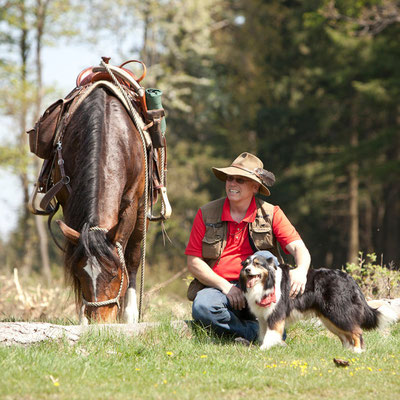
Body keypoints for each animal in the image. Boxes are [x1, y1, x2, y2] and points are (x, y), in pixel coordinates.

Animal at [54, 86, 146, 324]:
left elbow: (129, 256)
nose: (100, 321)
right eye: (79, 274)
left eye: (114, 273)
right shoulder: (68, 201)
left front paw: (128, 315)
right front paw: (82, 318)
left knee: (134, 253)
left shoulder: (132, 203)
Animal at [239, 255, 398, 352]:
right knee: (346, 336)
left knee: (356, 331)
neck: (267, 282)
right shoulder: (263, 317)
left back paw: (357, 351)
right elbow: (263, 333)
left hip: (338, 313)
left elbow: (271, 334)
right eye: (246, 264)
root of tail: (349, 278)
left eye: (257, 264)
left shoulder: (275, 314)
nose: (247, 270)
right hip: (329, 318)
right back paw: (347, 352)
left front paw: (264, 349)